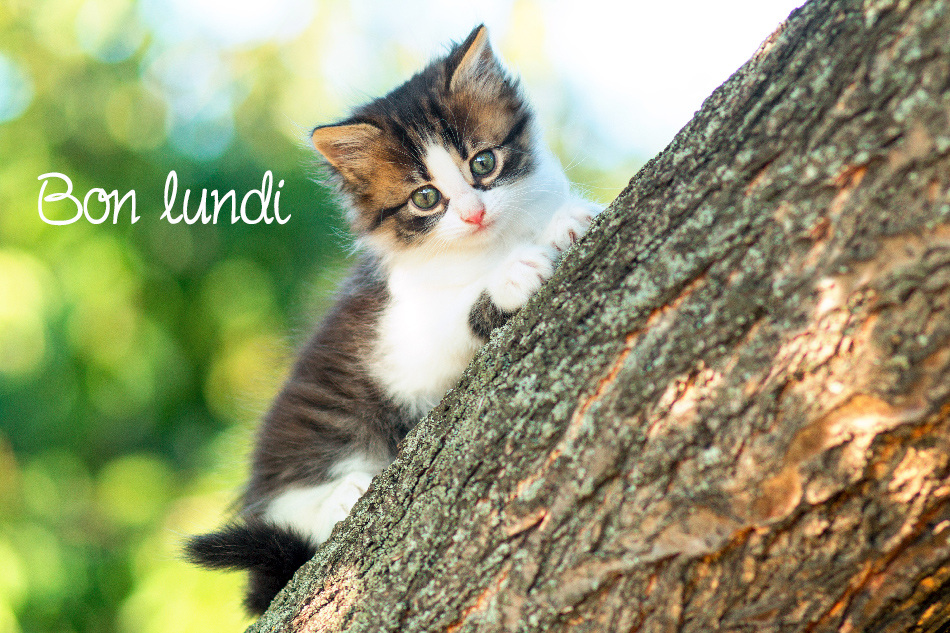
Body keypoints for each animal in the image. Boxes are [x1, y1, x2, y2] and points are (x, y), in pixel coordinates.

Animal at [187, 24, 604, 612]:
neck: (489, 245)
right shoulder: (397, 336)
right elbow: (451, 320)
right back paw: (344, 494)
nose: (473, 214)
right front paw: (510, 277)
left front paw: (566, 221)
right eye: (425, 197)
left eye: (483, 163)